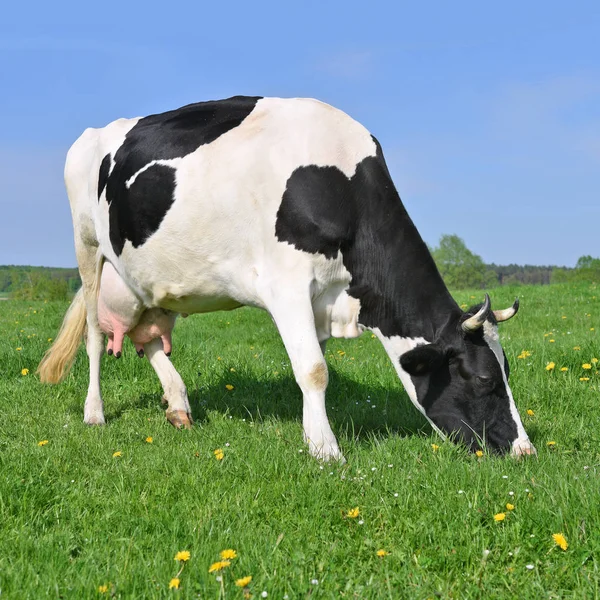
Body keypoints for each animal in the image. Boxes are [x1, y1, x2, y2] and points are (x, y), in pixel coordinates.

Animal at [36, 95, 536, 460]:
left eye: (507, 371)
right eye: (484, 379)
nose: (525, 451)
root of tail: (96, 132)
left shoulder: (322, 300)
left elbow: (313, 367)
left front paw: (312, 434)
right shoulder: (287, 284)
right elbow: (314, 369)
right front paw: (327, 452)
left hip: (151, 277)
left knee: (150, 339)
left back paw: (178, 405)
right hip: (88, 247)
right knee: (95, 335)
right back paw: (95, 413)